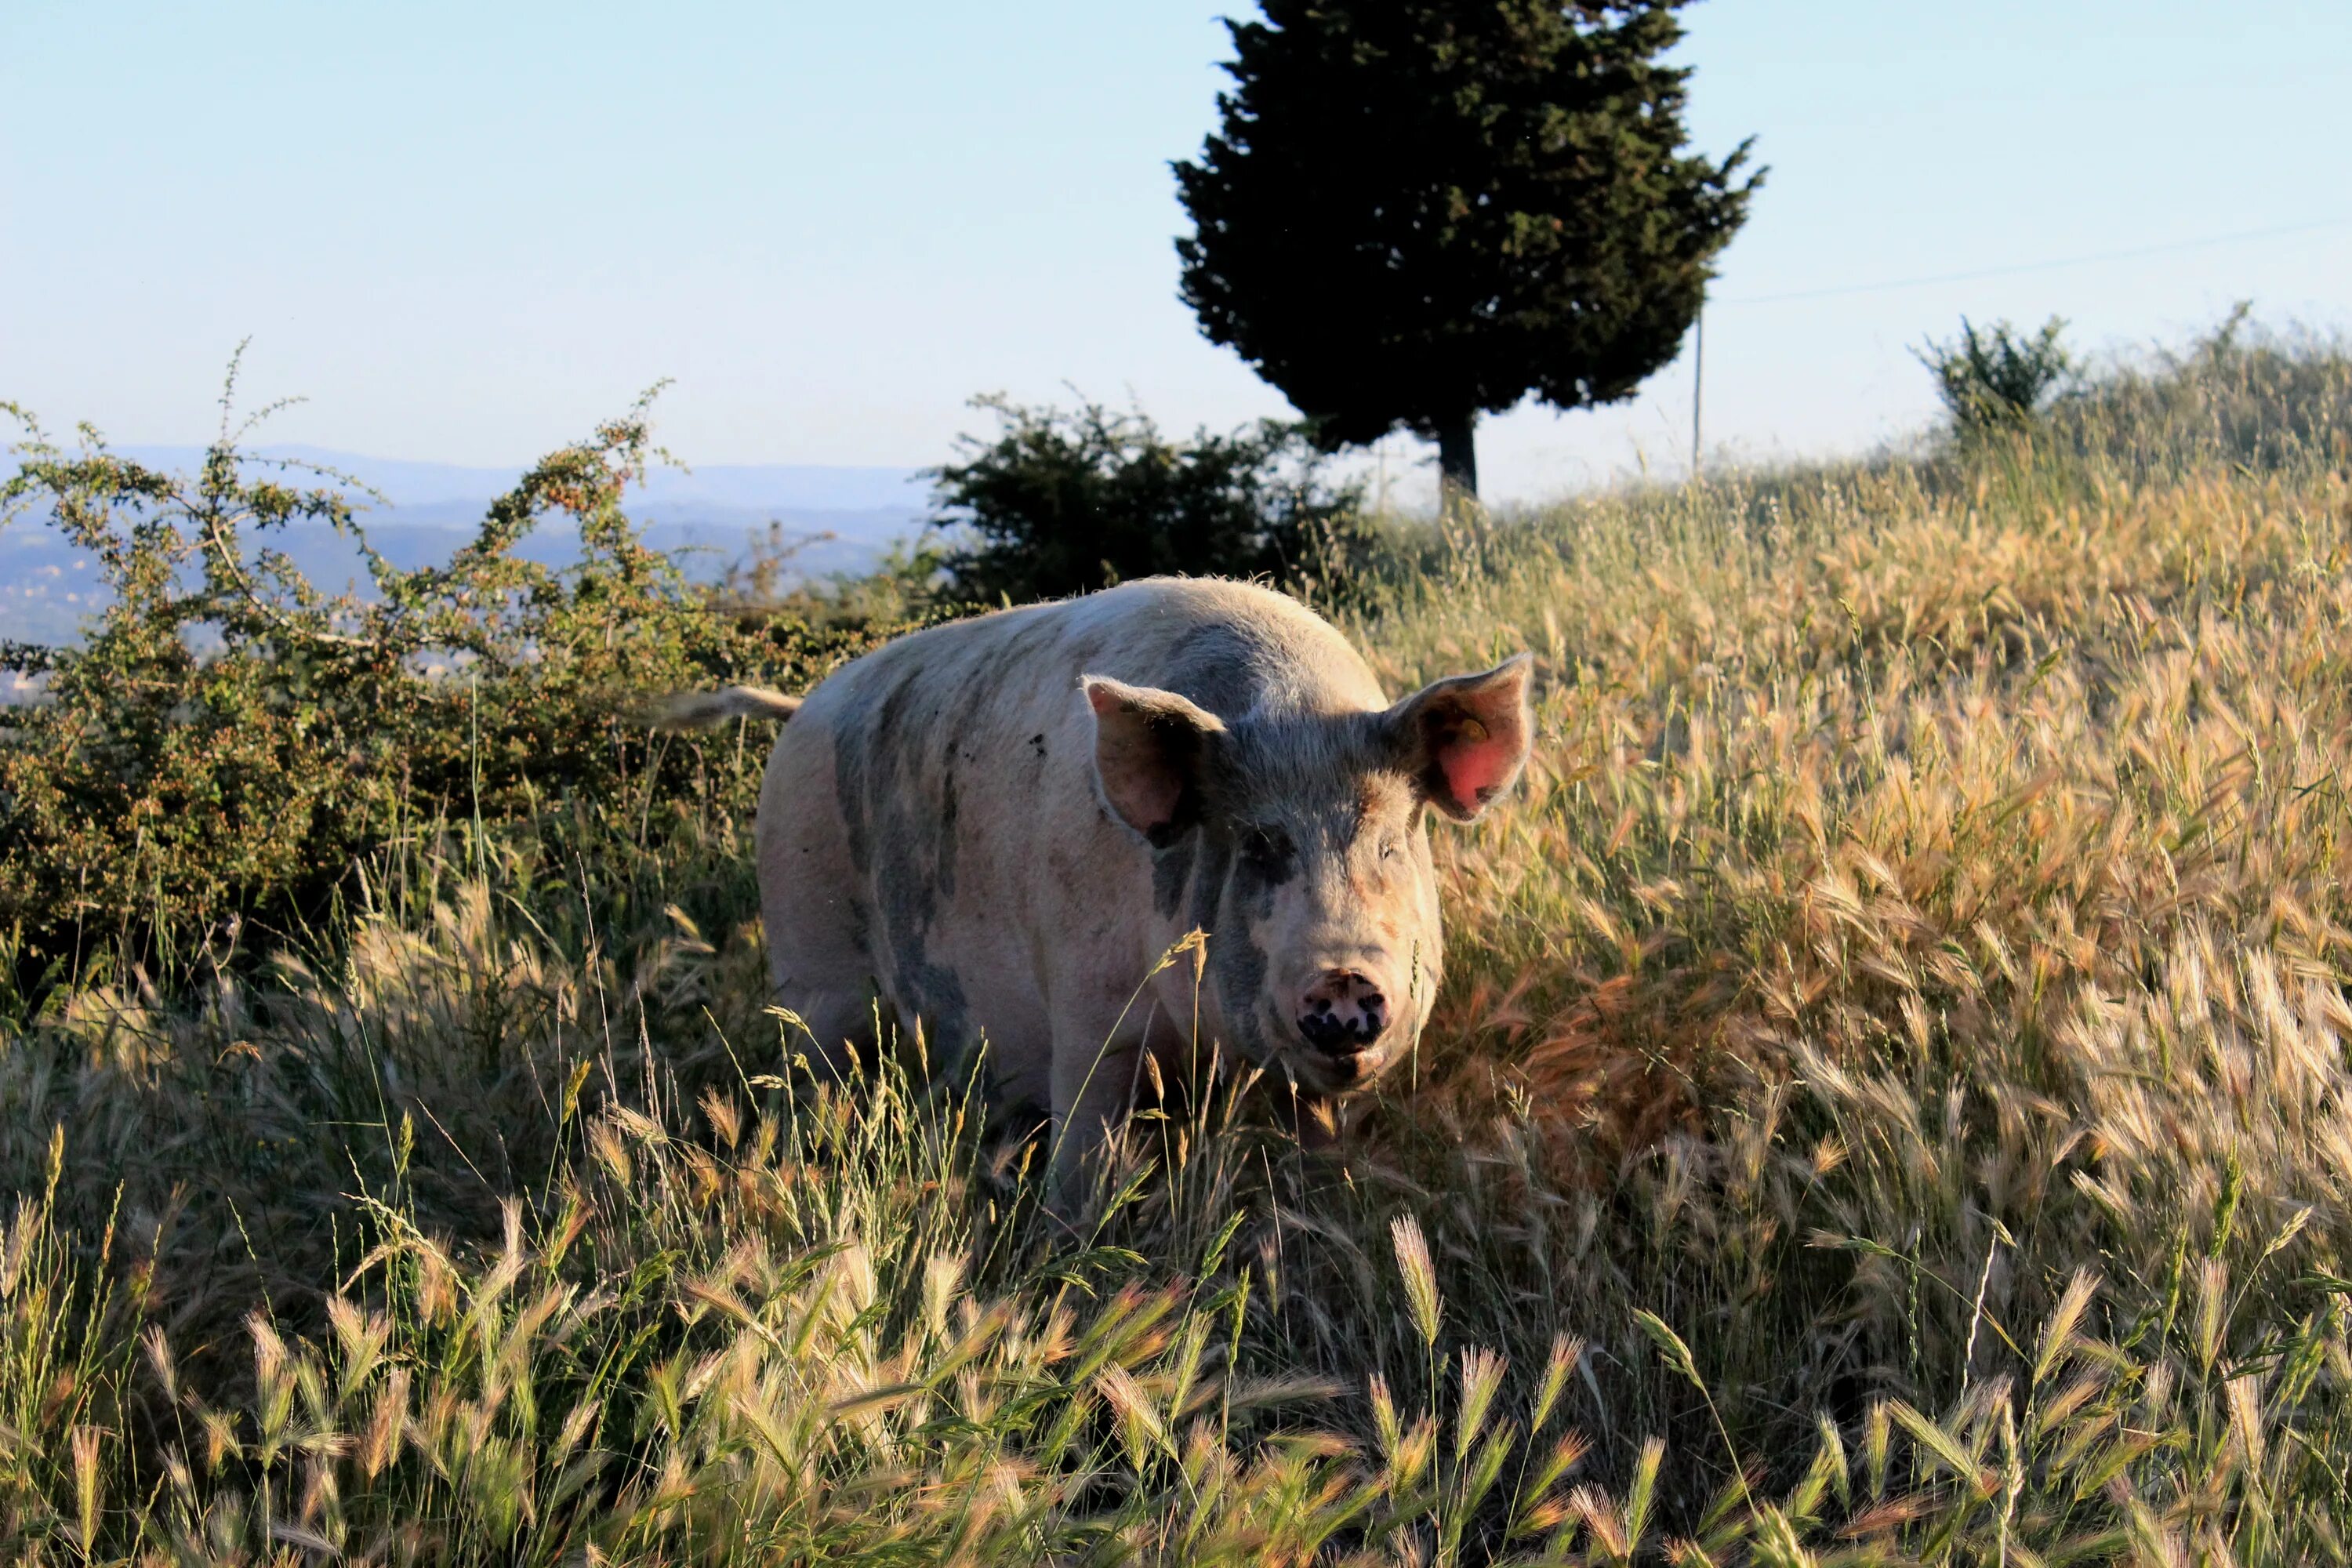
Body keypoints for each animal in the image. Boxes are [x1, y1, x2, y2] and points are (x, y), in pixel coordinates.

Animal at [673, 575, 1534, 1189]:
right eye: (1258, 846)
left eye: (1390, 844)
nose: (1344, 977)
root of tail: (801, 708)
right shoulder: (1091, 1015)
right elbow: (1086, 1144)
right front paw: (1067, 1239)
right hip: (809, 958)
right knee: (813, 1069)